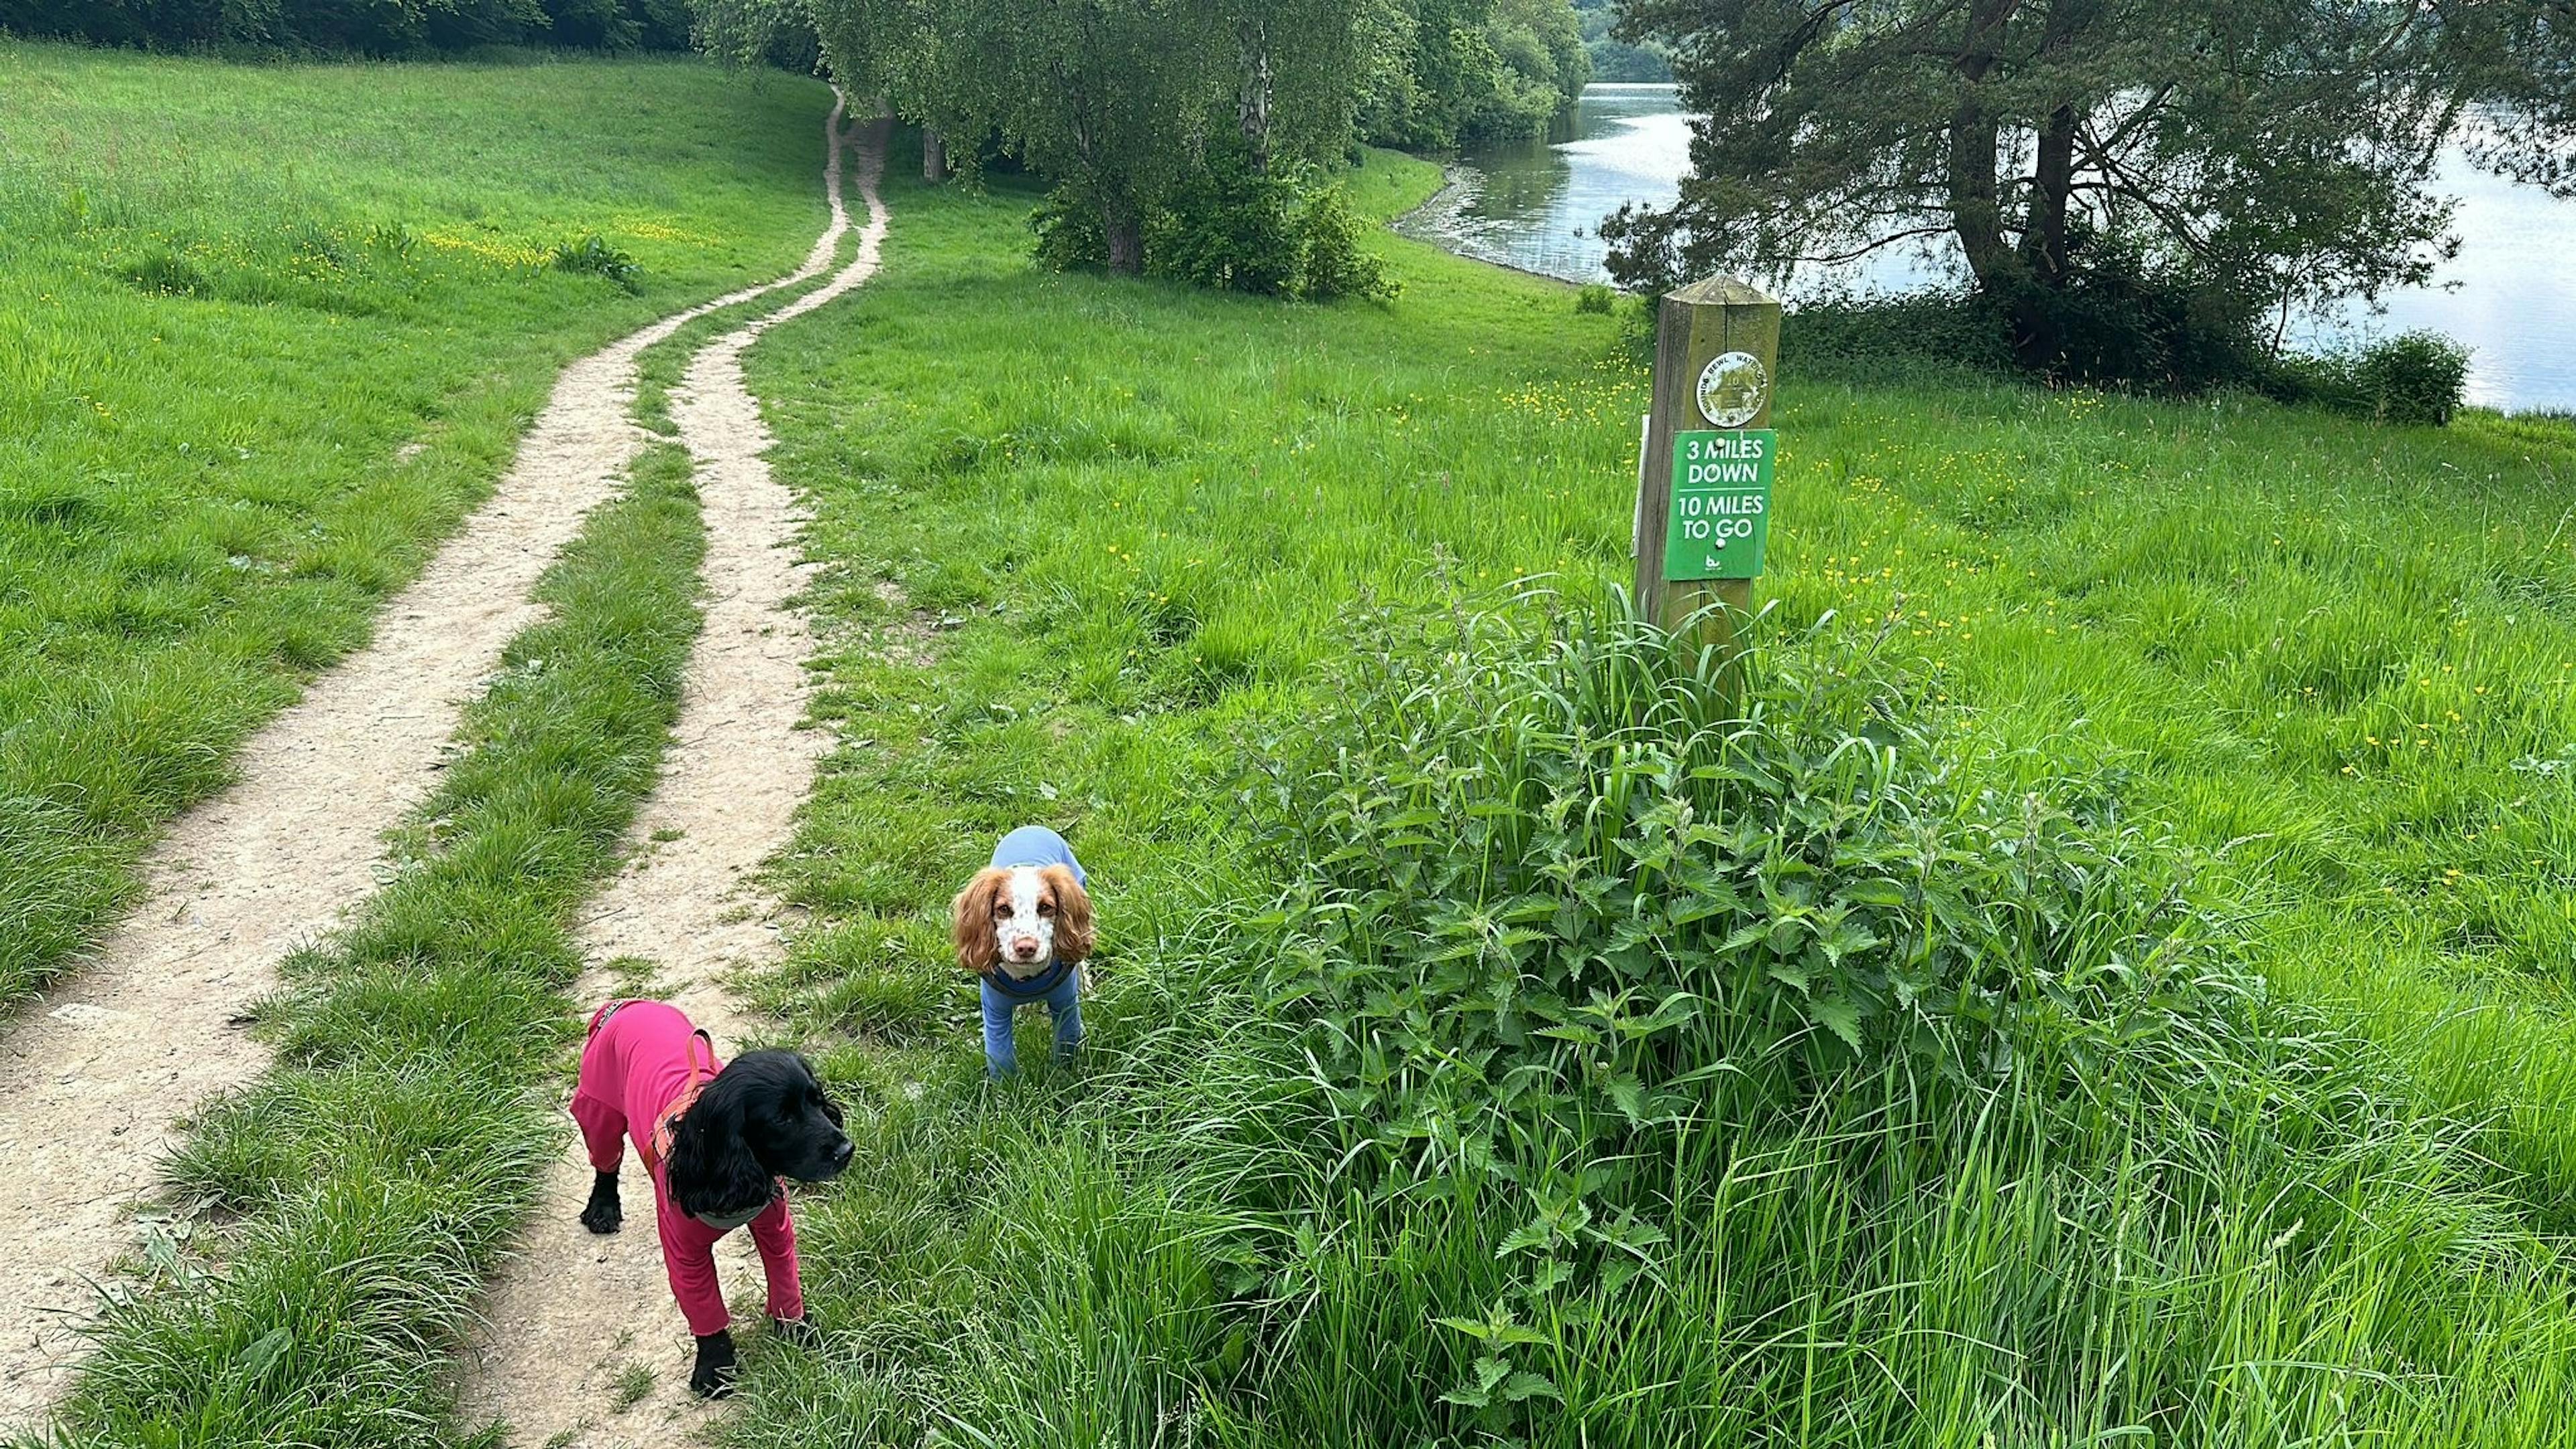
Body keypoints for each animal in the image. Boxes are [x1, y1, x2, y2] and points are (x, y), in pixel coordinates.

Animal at [574, 1000, 855, 1392]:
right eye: (782, 1118)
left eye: (818, 1101)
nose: (846, 1149)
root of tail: (626, 1004)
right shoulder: (684, 1253)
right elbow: (705, 1308)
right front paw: (714, 1367)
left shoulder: (776, 1228)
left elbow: (785, 1282)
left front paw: (796, 1331)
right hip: (598, 1111)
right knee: (605, 1163)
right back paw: (602, 1209)